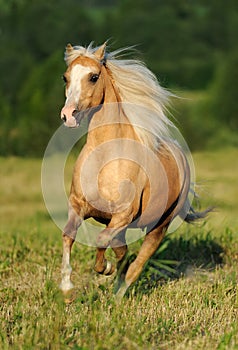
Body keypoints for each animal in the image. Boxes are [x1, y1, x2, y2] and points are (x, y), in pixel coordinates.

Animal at [58, 40, 206, 298]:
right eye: (66, 77)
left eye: (94, 76)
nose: (69, 115)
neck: (105, 159)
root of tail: (180, 154)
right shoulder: (78, 206)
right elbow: (68, 235)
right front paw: (66, 288)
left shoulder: (123, 215)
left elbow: (101, 240)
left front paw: (104, 268)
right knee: (123, 251)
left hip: (160, 225)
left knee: (137, 263)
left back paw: (118, 296)